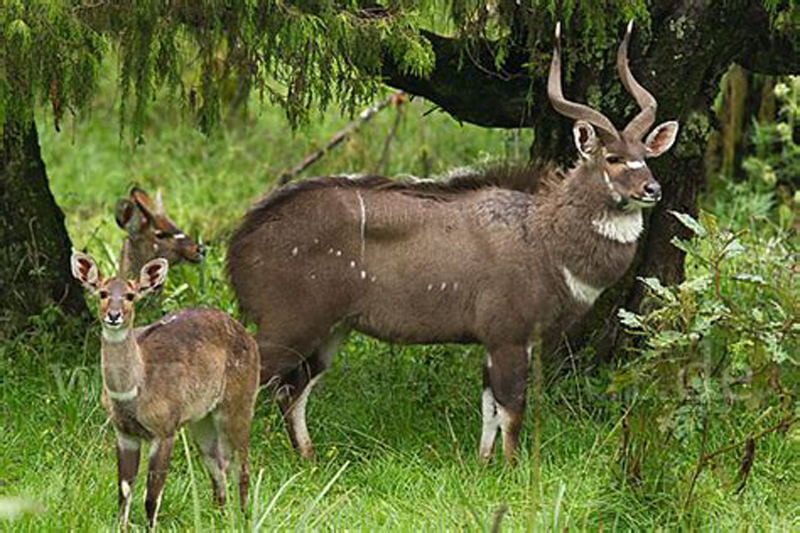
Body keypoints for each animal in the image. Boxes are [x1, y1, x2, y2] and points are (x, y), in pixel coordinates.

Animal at [70, 251, 260, 524]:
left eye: (130, 295)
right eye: (102, 293)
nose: (114, 315)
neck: (135, 389)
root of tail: (250, 338)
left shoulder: (165, 429)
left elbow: (152, 496)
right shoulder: (124, 432)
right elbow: (124, 491)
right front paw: (121, 526)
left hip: (238, 406)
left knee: (241, 467)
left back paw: (243, 518)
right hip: (201, 420)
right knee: (218, 467)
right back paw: (219, 517)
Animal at [228, 21, 680, 462]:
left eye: (646, 155)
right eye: (613, 158)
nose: (653, 189)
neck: (545, 237)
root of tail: (240, 243)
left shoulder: (501, 342)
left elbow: (489, 411)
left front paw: (482, 466)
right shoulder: (508, 334)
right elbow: (512, 410)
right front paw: (511, 471)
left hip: (331, 331)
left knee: (291, 392)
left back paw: (309, 460)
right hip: (290, 326)